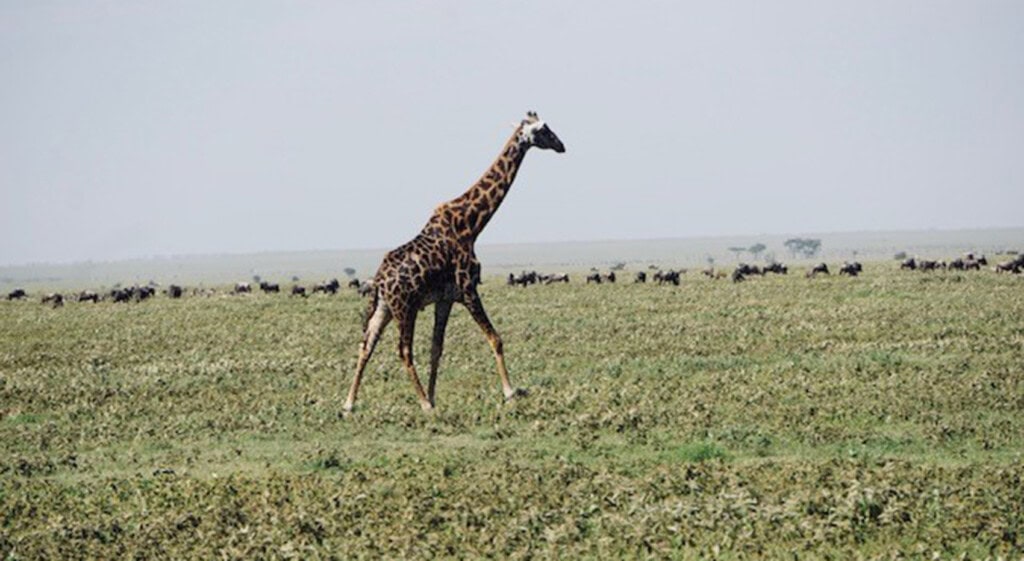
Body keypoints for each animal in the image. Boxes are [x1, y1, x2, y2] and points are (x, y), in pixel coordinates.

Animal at [343, 111, 566, 412]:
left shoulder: (445, 298)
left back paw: (349, 404)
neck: (471, 225)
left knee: (366, 345)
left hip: (384, 308)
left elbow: (436, 348)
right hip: (405, 308)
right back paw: (423, 405)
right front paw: (509, 392)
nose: (561, 145)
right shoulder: (468, 289)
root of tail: (379, 281)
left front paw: (435, 395)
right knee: (403, 350)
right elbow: (496, 339)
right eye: (543, 130)